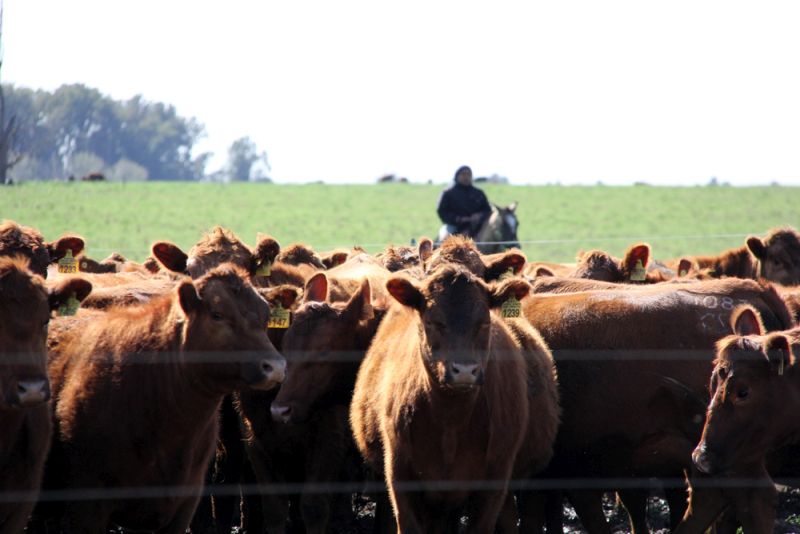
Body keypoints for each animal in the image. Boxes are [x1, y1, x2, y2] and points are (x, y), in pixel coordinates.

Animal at [354, 266, 560, 532]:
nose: (464, 371)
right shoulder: (399, 473)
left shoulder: (495, 479)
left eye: (484, 322)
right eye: (432, 321)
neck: (451, 421)